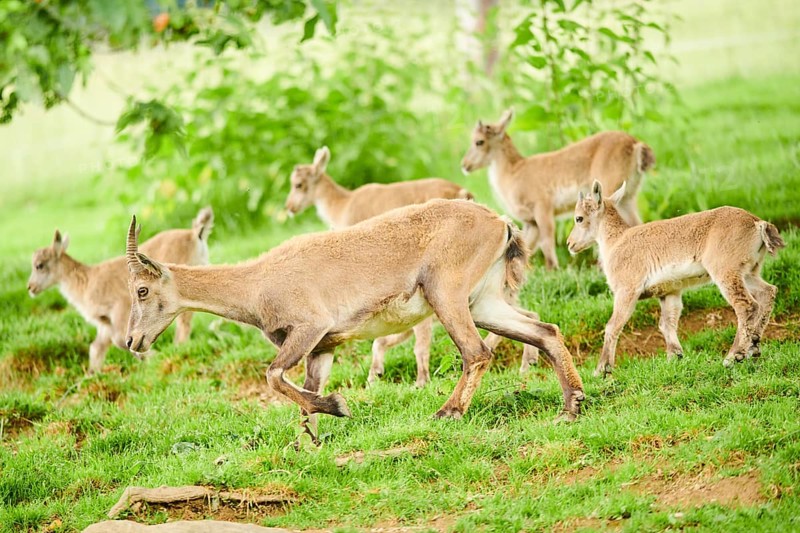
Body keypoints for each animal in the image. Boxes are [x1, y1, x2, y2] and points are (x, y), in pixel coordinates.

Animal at [28, 207, 213, 374]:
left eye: (39, 265)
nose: (30, 287)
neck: (87, 281)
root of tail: (195, 235)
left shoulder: (120, 308)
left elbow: (120, 340)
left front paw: (153, 356)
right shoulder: (104, 323)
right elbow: (96, 347)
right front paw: (91, 376)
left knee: (185, 322)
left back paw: (177, 349)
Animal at [125, 199, 585, 442]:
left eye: (141, 290)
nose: (131, 342)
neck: (256, 282)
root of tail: (499, 222)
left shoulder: (308, 327)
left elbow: (273, 376)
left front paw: (338, 407)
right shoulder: (323, 347)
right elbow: (305, 391)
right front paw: (307, 443)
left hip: (447, 293)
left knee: (475, 352)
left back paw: (447, 413)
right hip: (483, 301)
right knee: (544, 330)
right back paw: (571, 405)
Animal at [286, 146, 537, 387]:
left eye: (299, 184)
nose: (289, 207)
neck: (342, 204)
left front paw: (415, 380)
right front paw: (376, 375)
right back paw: (528, 363)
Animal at [461, 109, 655, 269]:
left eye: (479, 141)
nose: (464, 165)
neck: (514, 172)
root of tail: (636, 145)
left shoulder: (543, 207)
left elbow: (547, 241)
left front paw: (552, 270)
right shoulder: (531, 222)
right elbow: (526, 245)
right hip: (627, 197)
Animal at [567, 181, 784, 376]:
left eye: (579, 218)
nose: (570, 243)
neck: (616, 242)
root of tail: (757, 223)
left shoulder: (627, 289)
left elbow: (612, 325)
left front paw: (601, 370)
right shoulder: (670, 292)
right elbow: (667, 324)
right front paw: (675, 357)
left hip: (725, 270)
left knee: (746, 305)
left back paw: (733, 356)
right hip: (748, 271)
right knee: (768, 292)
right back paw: (753, 346)